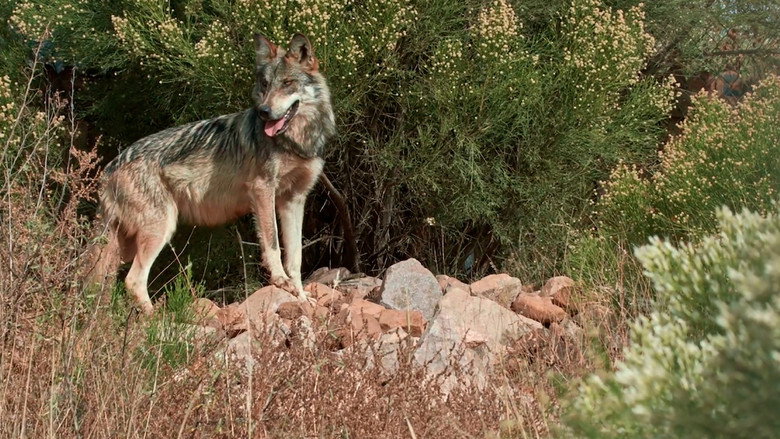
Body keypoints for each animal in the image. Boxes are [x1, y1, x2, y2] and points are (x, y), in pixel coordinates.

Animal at [84, 33, 335, 314]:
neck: (296, 142)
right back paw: (159, 318)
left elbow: (296, 257)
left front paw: (300, 296)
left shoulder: (294, 200)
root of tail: (109, 168)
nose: (264, 112)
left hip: (124, 245)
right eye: (265, 84)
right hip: (159, 231)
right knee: (133, 280)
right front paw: (280, 281)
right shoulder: (262, 190)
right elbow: (272, 244)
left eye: (287, 83)